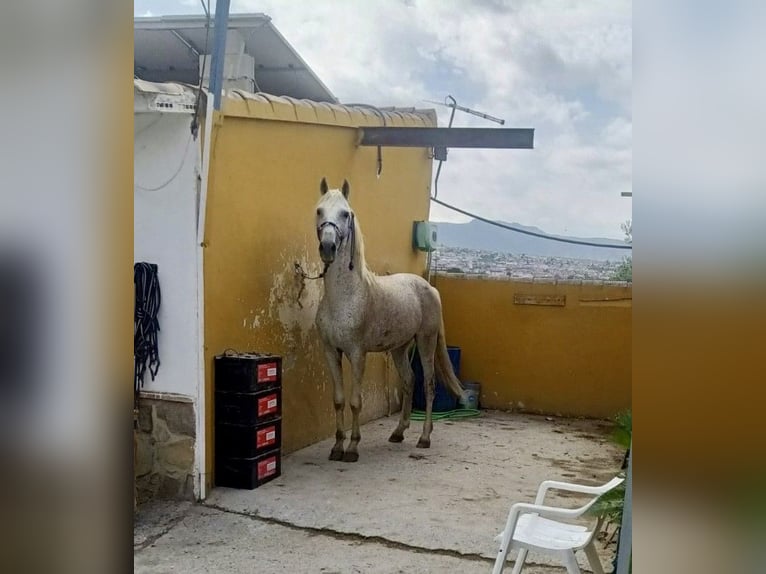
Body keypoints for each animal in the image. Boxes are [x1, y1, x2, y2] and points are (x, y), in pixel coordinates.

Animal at [312, 180, 462, 464]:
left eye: (345, 214)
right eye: (319, 210)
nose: (327, 247)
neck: (345, 297)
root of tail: (429, 288)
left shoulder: (357, 353)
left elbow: (355, 401)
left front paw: (352, 448)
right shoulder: (330, 352)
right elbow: (338, 400)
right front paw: (336, 447)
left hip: (425, 342)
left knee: (428, 385)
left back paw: (424, 438)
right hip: (399, 348)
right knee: (409, 381)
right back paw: (398, 432)